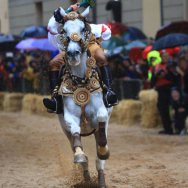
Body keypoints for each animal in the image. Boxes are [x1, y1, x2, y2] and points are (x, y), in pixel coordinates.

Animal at [55, 6, 112, 187]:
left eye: (82, 28)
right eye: (64, 31)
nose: (73, 53)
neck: (81, 82)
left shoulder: (102, 113)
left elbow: (101, 119)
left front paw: (103, 151)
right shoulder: (69, 118)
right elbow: (75, 136)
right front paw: (80, 156)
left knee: (99, 161)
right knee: (78, 149)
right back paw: (86, 178)